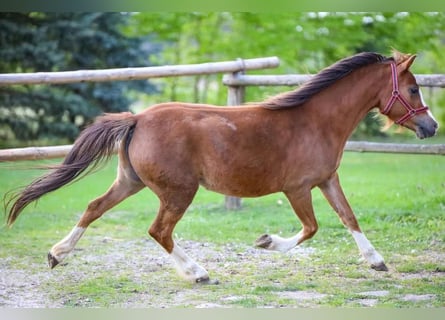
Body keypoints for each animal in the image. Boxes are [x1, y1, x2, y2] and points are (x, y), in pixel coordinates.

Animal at [6, 50, 438, 282]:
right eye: (414, 88)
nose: (431, 126)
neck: (315, 121)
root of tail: (137, 118)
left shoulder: (327, 180)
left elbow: (349, 218)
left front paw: (377, 261)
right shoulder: (297, 188)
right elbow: (311, 228)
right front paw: (266, 241)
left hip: (131, 182)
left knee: (94, 208)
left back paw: (57, 254)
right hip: (179, 191)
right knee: (159, 231)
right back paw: (197, 272)